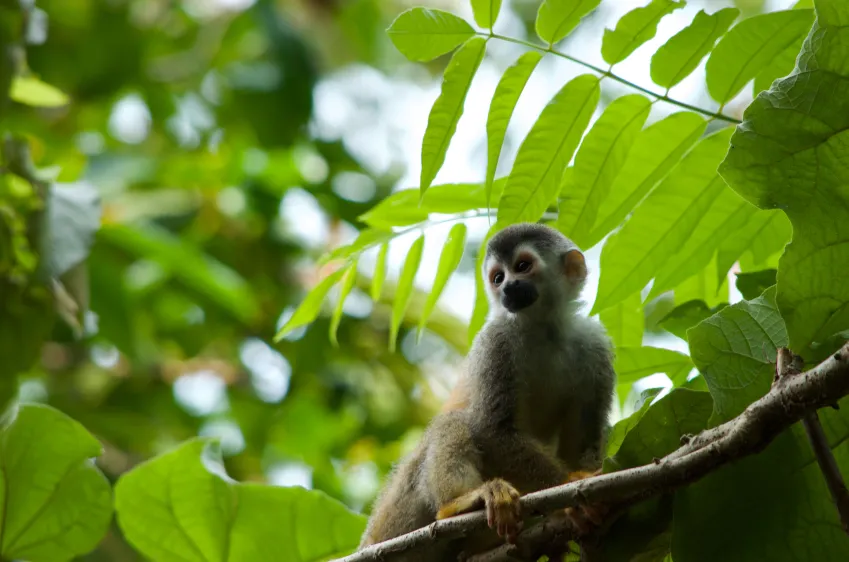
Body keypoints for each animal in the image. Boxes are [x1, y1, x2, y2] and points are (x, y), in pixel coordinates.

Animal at [360, 222, 616, 556]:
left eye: (522, 266)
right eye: (498, 277)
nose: (507, 287)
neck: (544, 328)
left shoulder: (595, 343)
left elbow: (582, 440)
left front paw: (584, 493)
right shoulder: (496, 340)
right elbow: (494, 429)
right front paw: (570, 496)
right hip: (397, 512)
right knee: (454, 423)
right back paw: (458, 505)